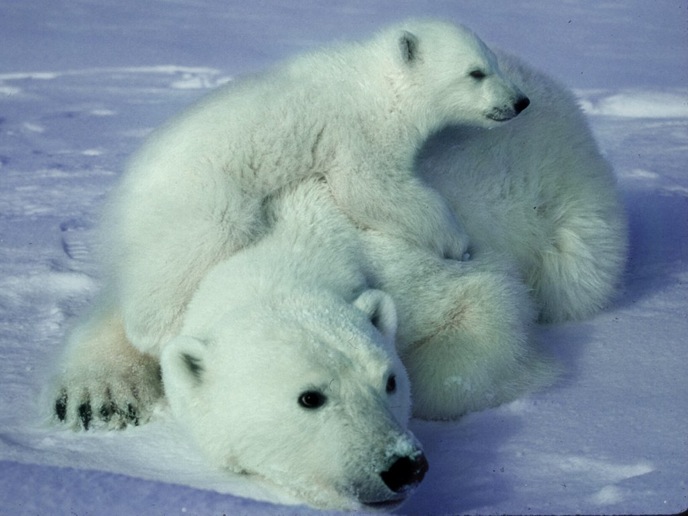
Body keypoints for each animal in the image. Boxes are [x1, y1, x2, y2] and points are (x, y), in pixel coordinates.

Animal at [98, 19, 528, 354]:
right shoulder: (360, 129)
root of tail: (118, 204)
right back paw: (160, 331)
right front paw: (457, 242)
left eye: (493, 63)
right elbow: (369, 187)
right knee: (198, 243)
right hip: (199, 194)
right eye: (476, 72)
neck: (377, 81)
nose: (520, 101)